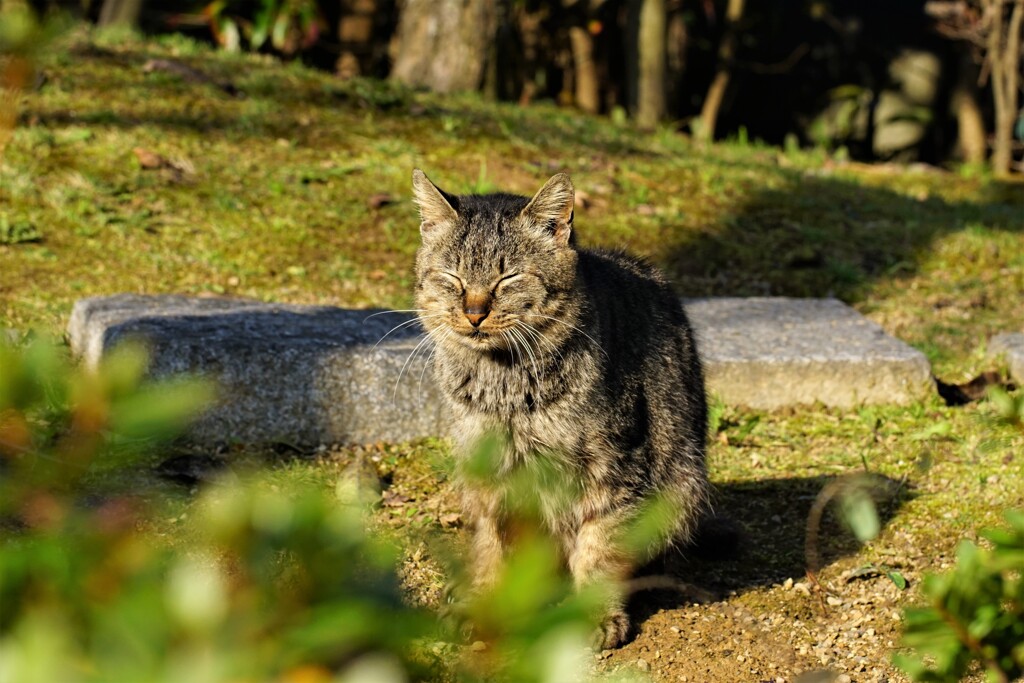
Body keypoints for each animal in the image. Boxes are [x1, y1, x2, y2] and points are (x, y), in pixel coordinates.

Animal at [411, 167, 708, 651]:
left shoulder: (617, 467)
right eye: (452, 277)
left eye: (507, 278)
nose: (474, 312)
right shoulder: (489, 476)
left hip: (683, 485)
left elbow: (599, 548)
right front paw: (484, 601)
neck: (506, 386)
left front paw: (596, 613)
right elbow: (493, 548)